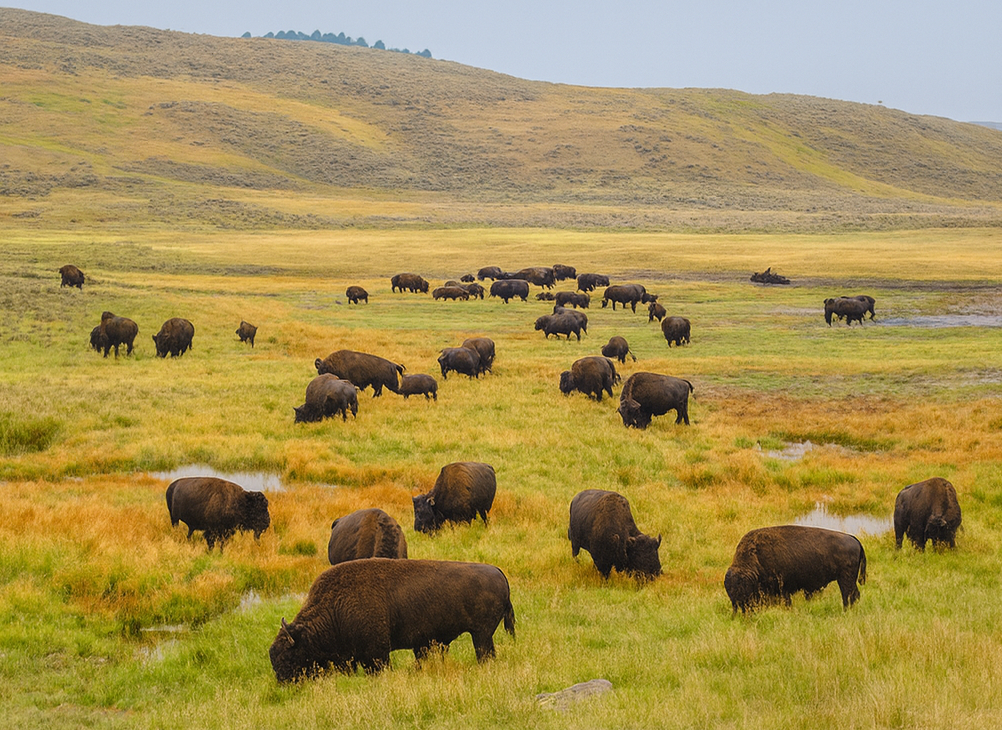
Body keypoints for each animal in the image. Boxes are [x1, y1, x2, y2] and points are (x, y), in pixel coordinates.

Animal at [269, 559, 515, 681]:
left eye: (289, 657)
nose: (285, 683)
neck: (334, 606)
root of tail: (498, 572)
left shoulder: (376, 654)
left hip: (481, 635)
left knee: (485, 653)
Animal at [724, 525, 867, 613]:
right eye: (730, 593)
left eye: (744, 590)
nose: (743, 611)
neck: (756, 557)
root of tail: (854, 539)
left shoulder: (783, 590)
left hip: (845, 579)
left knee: (848, 596)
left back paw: (845, 610)